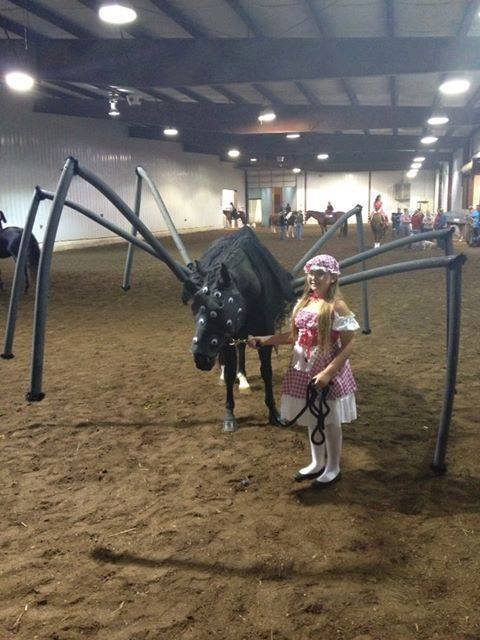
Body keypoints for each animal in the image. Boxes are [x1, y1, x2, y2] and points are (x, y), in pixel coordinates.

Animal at [182, 228, 294, 432]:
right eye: (194, 306)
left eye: (219, 306)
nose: (200, 357)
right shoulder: (227, 340)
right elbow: (228, 373)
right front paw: (229, 416)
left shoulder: (264, 336)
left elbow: (267, 372)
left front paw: (274, 413)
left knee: (241, 351)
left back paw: (243, 379)